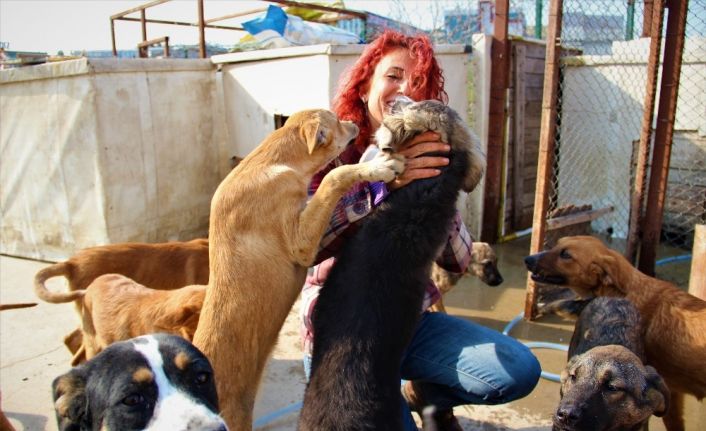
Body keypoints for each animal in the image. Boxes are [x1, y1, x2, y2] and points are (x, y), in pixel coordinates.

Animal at [191, 109, 402, 430]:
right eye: (336, 122)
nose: (354, 123)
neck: (275, 160)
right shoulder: (300, 244)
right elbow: (334, 176)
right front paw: (378, 166)